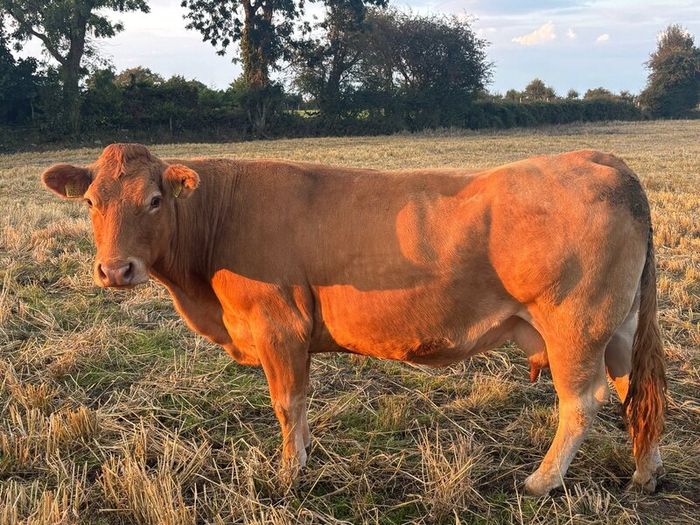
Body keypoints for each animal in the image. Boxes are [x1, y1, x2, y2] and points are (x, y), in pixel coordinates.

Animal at [41, 143, 666, 496]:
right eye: (91, 202)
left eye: (153, 200)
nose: (115, 269)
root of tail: (600, 161)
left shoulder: (280, 327)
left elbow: (288, 402)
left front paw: (289, 473)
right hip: (618, 328)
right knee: (636, 390)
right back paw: (645, 472)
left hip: (575, 327)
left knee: (581, 403)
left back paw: (542, 481)